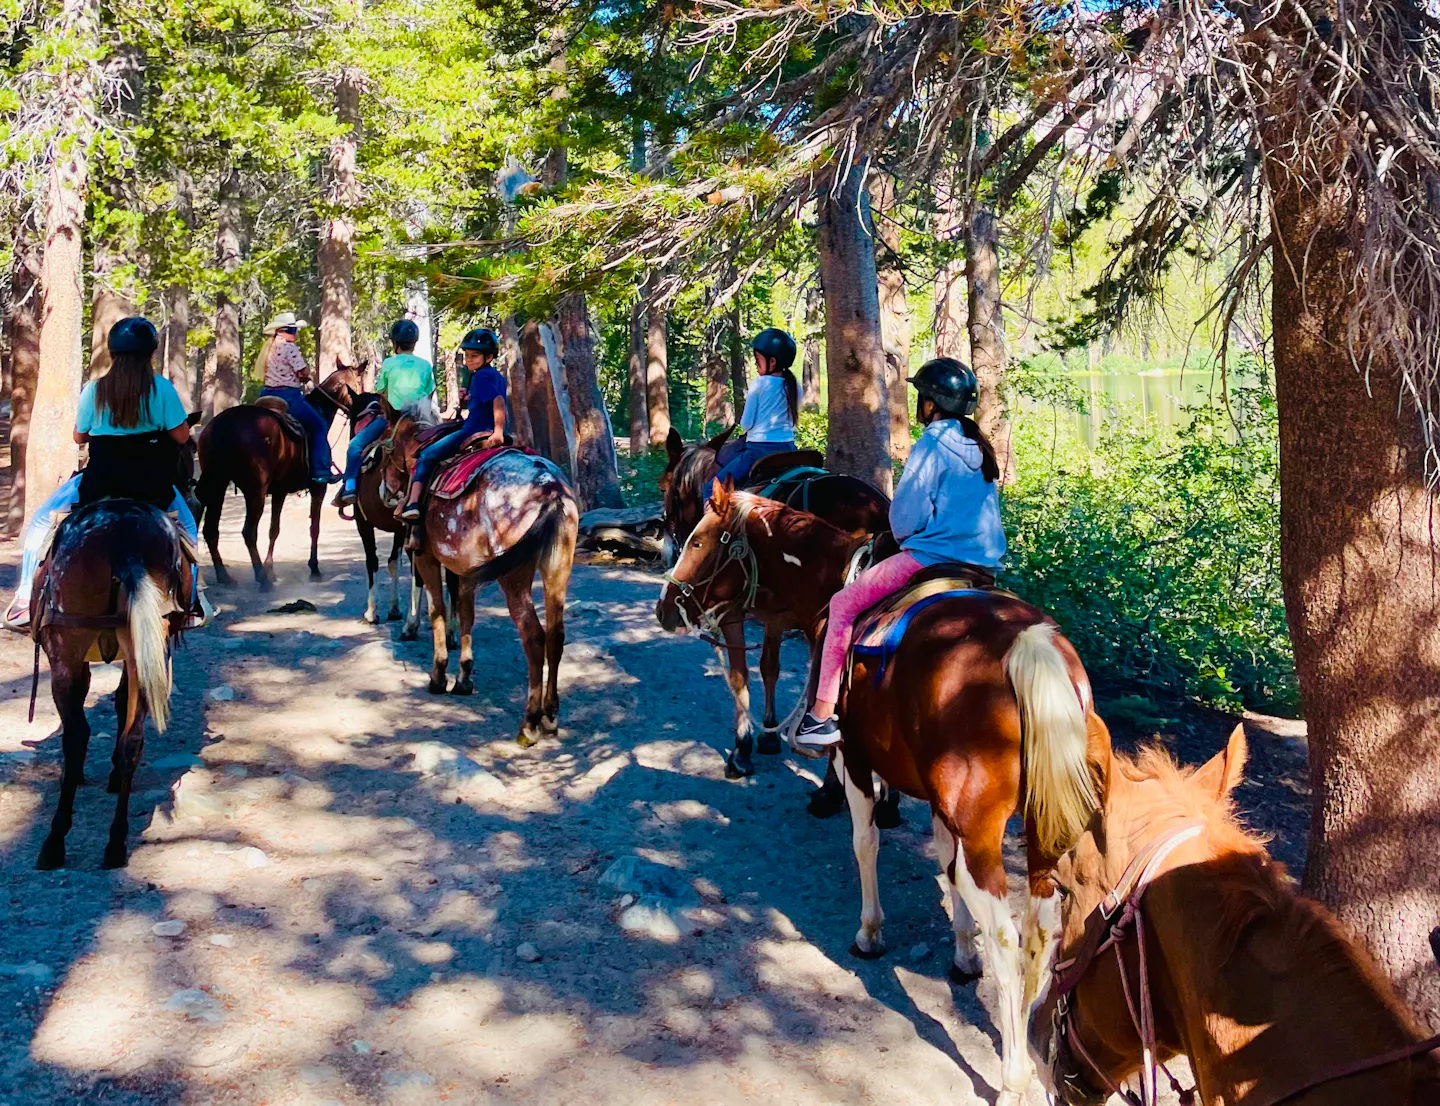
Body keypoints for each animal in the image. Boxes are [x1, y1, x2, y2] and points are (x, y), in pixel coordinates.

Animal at [31, 432, 200, 869]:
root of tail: (124, 543)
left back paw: (54, 841)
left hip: (66, 651)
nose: (195, 498)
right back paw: (116, 843)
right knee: (131, 739)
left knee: (75, 739)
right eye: (186, 454)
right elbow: (123, 705)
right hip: (145, 645)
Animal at [195, 364, 363, 588]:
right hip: (254, 491)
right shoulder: (318, 488)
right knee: (248, 532)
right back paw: (261, 579)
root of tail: (223, 426)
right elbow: (314, 527)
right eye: (359, 382)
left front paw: (271, 569)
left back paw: (225, 576)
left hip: (217, 485)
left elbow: (274, 530)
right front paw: (314, 568)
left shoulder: (280, 491)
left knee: (210, 529)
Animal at [378, 423, 578, 744]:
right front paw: (463, 678)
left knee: (533, 637)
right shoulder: (465, 570)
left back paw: (529, 723)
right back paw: (549, 716)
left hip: (514, 577)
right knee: (555, 636)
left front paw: (439, 676)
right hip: (557, 569)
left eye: (385, 451)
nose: (384, 493)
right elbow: (466, 616)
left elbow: (438, 611)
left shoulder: (427, 558)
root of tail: (551, 488)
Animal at [659, 427, 891, 783]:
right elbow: (770, 668)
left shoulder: (733, 612)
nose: (669, 550)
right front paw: (768, 734)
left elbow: (740, 675)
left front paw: (741, 749)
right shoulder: (776, 615)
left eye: (664, 487)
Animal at [659, 485, 1111, 1106]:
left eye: (700, 540)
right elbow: (946, 869)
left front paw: (870, 933)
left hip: (985, 830)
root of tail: (1030, 645)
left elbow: (866, 841)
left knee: (1007, 936)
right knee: (1041, 927)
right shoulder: (943, 805)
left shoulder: (854, 759)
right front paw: (961, 954)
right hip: (1043, 831)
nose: (665, 607)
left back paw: (1013, 1076)